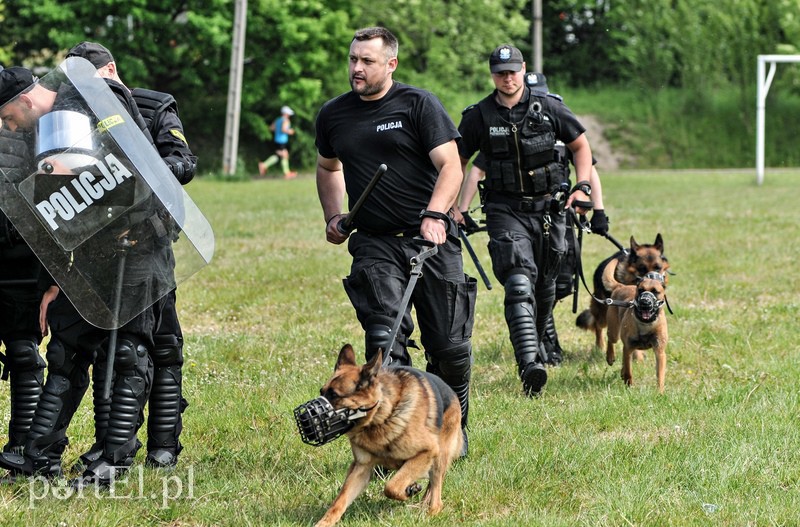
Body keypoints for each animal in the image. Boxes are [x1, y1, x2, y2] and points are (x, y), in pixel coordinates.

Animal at [312, 344, 462, 527]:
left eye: (334, 395)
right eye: (322, 391)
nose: (307, 416)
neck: (381, 417)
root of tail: (451, 390)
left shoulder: (427, 450)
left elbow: (390, 487)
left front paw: (406, 493)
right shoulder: (361, 468)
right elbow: (341, 499)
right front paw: (324, 522)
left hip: (439, 457)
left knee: (436, 496)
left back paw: (429, 512)